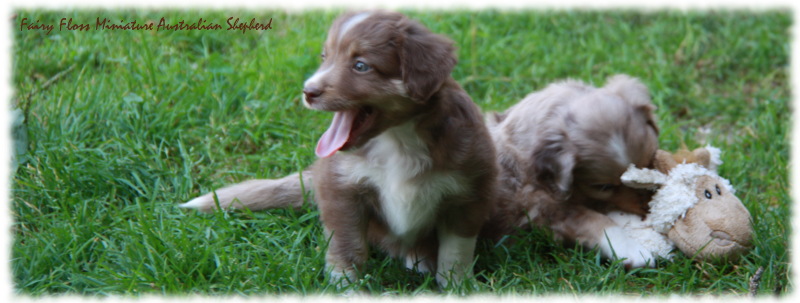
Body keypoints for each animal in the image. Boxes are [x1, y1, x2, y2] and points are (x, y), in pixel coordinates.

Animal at [182, 11, 496, 288]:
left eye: (361, 65)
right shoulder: (341, 186)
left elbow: (456, 249)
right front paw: (345, 285)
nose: (308, 91)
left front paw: (458, 285)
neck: (398, 140)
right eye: (325, 57)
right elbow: (347, 243)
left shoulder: (470, 191)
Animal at [484, 75, 660, 268]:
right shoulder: (543, 206)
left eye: (650, 162)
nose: (649, 207)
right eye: (604, 187)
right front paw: (632, 250)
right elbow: (593, 220)